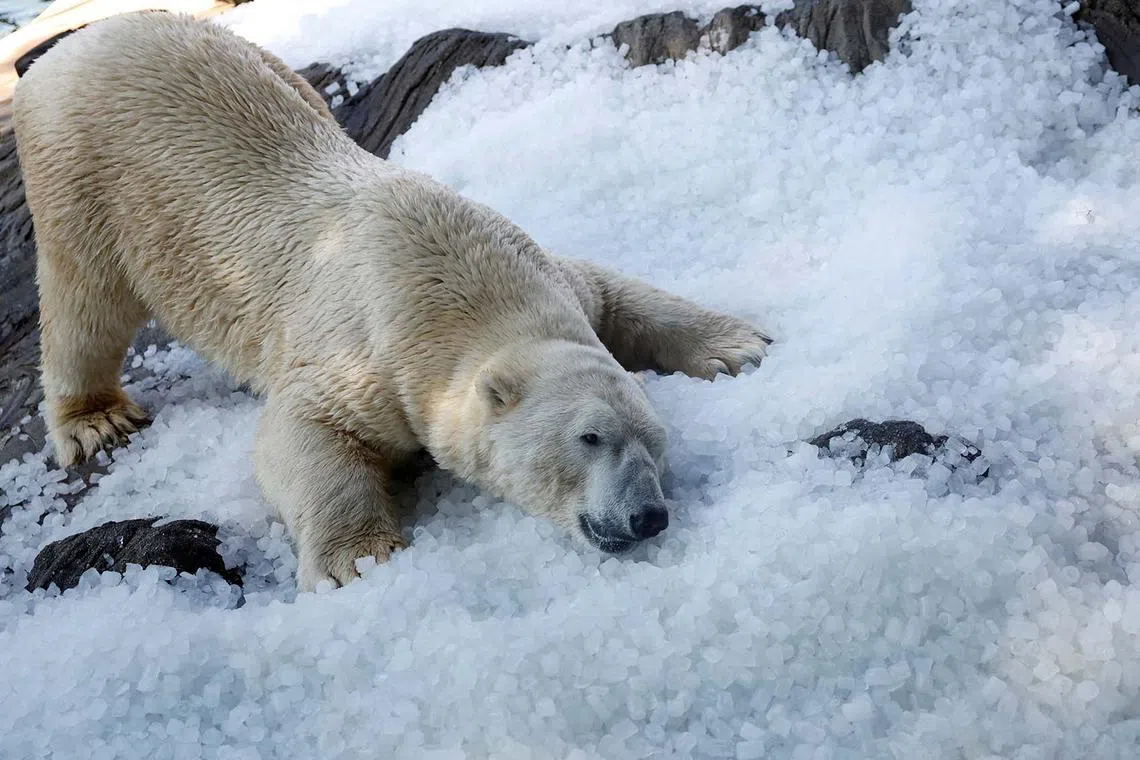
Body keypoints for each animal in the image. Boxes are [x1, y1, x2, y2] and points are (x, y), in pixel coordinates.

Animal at [14, 12, 771, 591]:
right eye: (589, 438)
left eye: (656, 442)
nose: (649, 516)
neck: (452, 275)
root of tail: (80, 41)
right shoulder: (365, 354)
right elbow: (304, 435)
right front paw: (361, 558)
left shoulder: (549, 277)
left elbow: (613, 291)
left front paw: (738, 345)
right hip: (83, 170)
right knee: (84, 301)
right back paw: (96, 420)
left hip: (269, 63)